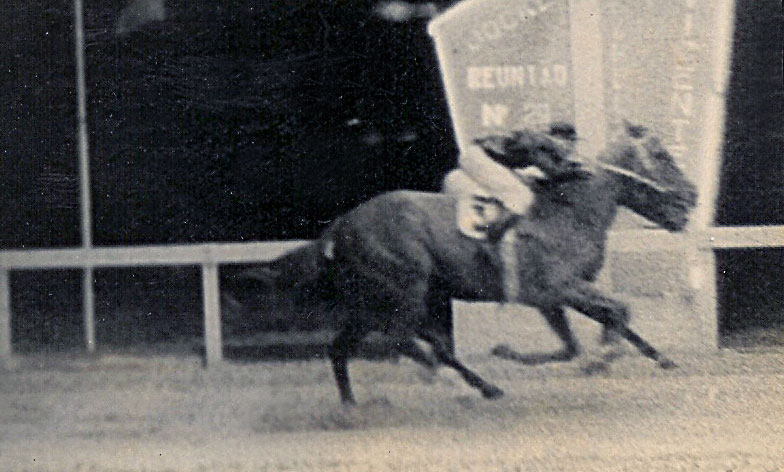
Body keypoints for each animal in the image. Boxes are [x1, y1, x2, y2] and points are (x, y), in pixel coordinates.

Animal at [224, 120, 696, 404]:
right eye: (663, 157)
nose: (692, 197)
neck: (570, 208)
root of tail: (337, 228)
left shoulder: (554, 297)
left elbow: (587, 334)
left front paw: (657, 359)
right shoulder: (555, 288)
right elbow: (615, 314)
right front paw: (598, 359)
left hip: (376, 300)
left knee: (344, 347)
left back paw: (353, 406)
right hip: (404, 290)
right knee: (409, 340)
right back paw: (473, 384)